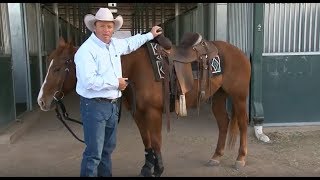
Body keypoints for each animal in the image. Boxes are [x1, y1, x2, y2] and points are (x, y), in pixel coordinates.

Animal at [37, 31, 251, 176]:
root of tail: (239, 52)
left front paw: (159, 169)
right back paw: (216, 157)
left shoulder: (153, 112)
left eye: (58, 68)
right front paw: (147, 168)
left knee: (242, 124)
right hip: (219, 97)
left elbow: (156, 141)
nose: (42, 101)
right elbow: (146, 142)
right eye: (49, 63)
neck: (135, 69)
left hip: (239, 97)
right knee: (223, 123)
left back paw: (240, 159)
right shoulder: (138, 113)